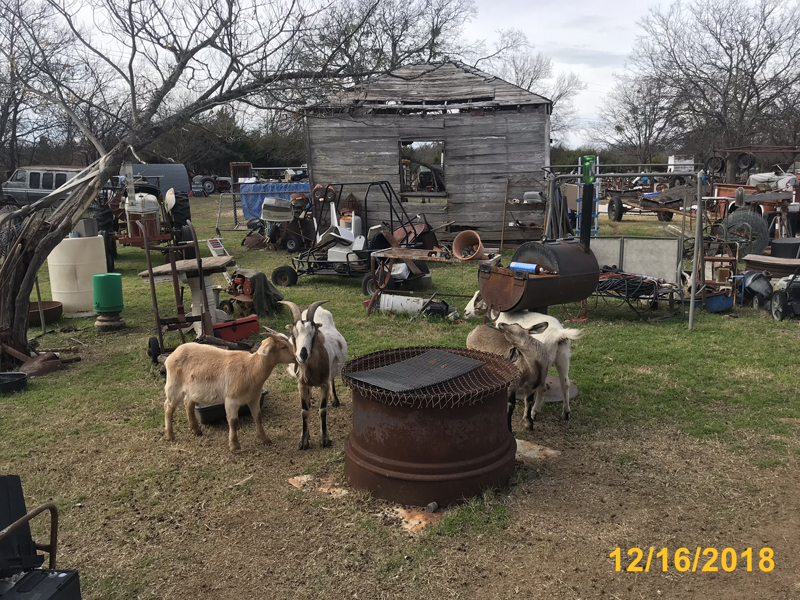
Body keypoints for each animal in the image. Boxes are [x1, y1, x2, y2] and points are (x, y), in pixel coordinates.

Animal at [163, 334, 296, 452]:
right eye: (283, 347)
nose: (297, 357)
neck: (251, 368)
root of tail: (172, 354)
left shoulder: (254, 397)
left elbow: (258, 417)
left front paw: (265, 439)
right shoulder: (232, 400)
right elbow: (233, 421)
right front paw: (234, 445)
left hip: (192, 389)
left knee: (188, 404)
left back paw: (196, 430)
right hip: (174, 386)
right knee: (168, 407)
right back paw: (170, 435)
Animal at [281, 300, 348, 450]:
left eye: (313, 334)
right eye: (293, 334)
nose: (303, 355)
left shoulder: (324, 384)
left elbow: (322, 410)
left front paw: (324, 440)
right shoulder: (301, 384)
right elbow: (304, 411)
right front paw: (304, 440)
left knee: (333, 380)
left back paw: (335, 400)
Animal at [465, 290, 583, 420]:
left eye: (479, 298)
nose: (465, 312)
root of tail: (558, 334)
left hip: (544, 364)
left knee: (543, 388)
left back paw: (534, 411)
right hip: (564, 357)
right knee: (565, 384)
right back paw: (566, 413)